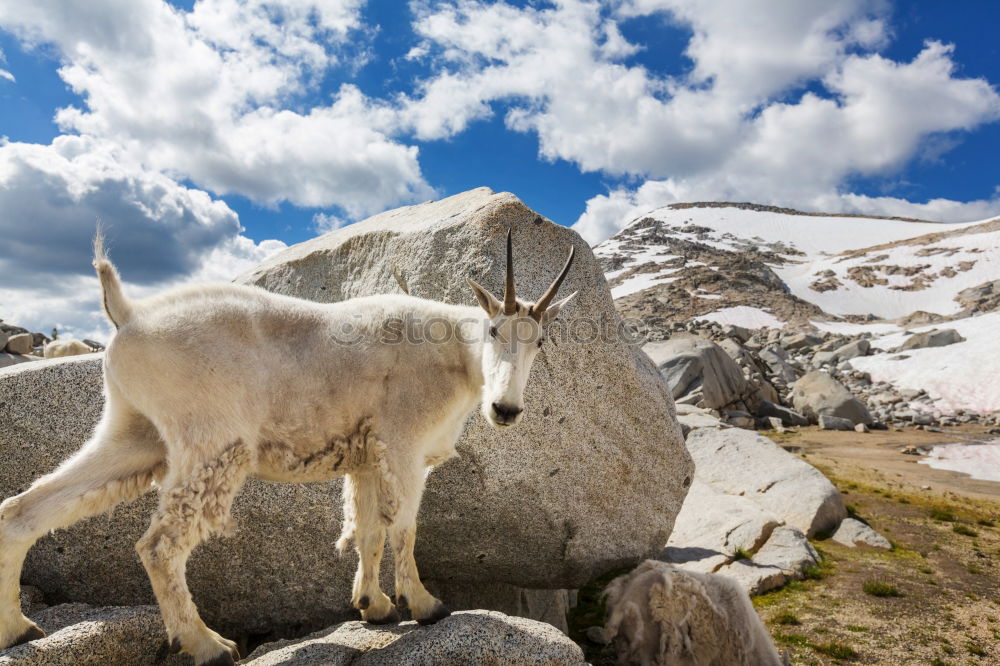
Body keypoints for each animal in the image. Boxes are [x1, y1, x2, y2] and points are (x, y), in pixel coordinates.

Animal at [0, 230, 580, 664]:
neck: (454, 355)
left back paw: (20, 628)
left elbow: (368, 529)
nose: (505, 410)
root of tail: (129, 315)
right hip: (210, 444)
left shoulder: (366, 456)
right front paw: (425, 605)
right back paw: (209, 645)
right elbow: (405, 527)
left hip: (133, 435)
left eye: (539, 340)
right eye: (494, 329)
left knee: (26, 509)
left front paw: (373, 606)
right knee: (160, 545)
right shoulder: (404, 447)